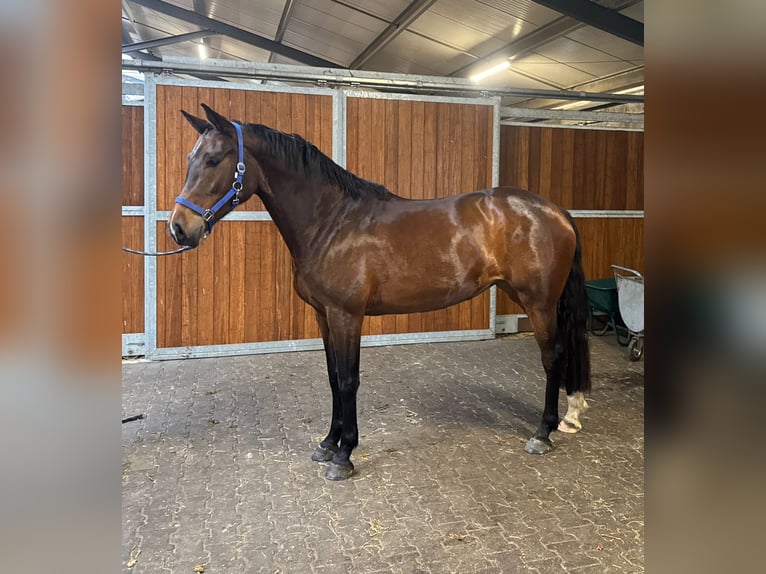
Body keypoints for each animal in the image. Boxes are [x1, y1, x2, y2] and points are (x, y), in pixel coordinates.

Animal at [169, 103, 591, 481]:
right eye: (190, 158)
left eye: (214, 159)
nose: (179, 228)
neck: (331, 222)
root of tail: (556, 211)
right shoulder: (324, 315)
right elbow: (332, 376)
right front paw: (328, 443)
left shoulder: (347, 315)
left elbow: (348, 380)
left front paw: (344, 456)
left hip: (539, 303)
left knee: (552, 357)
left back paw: (542, 433)